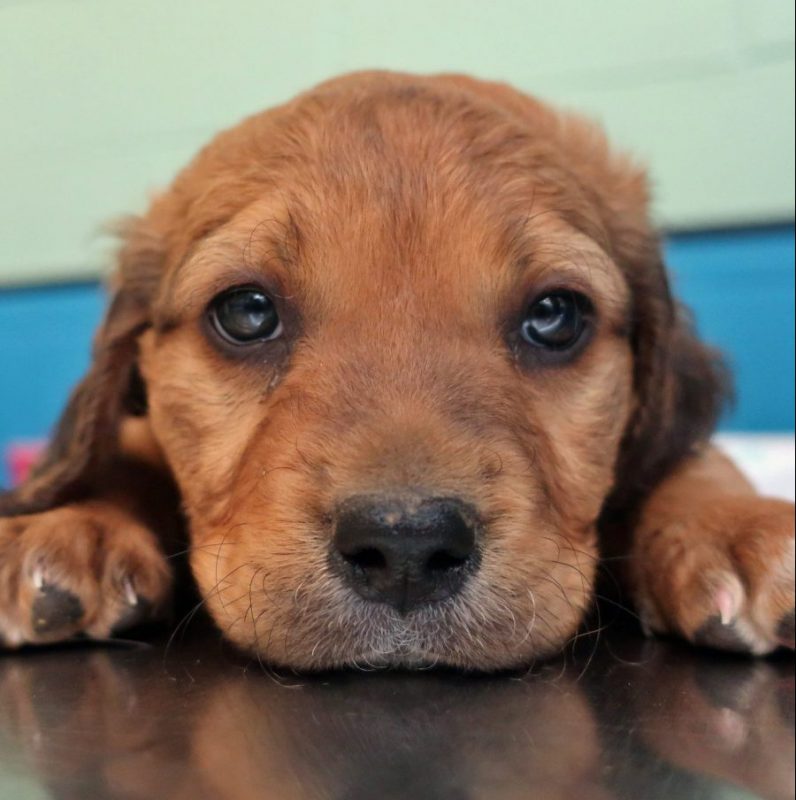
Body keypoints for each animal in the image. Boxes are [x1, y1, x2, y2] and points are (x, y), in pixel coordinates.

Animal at [0, 72, 792, 668]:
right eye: (247, 312)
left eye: (554, 316)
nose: (406, 547)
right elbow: (116, 455)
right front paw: (69, 527)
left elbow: (691, 462)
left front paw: (737, 530)